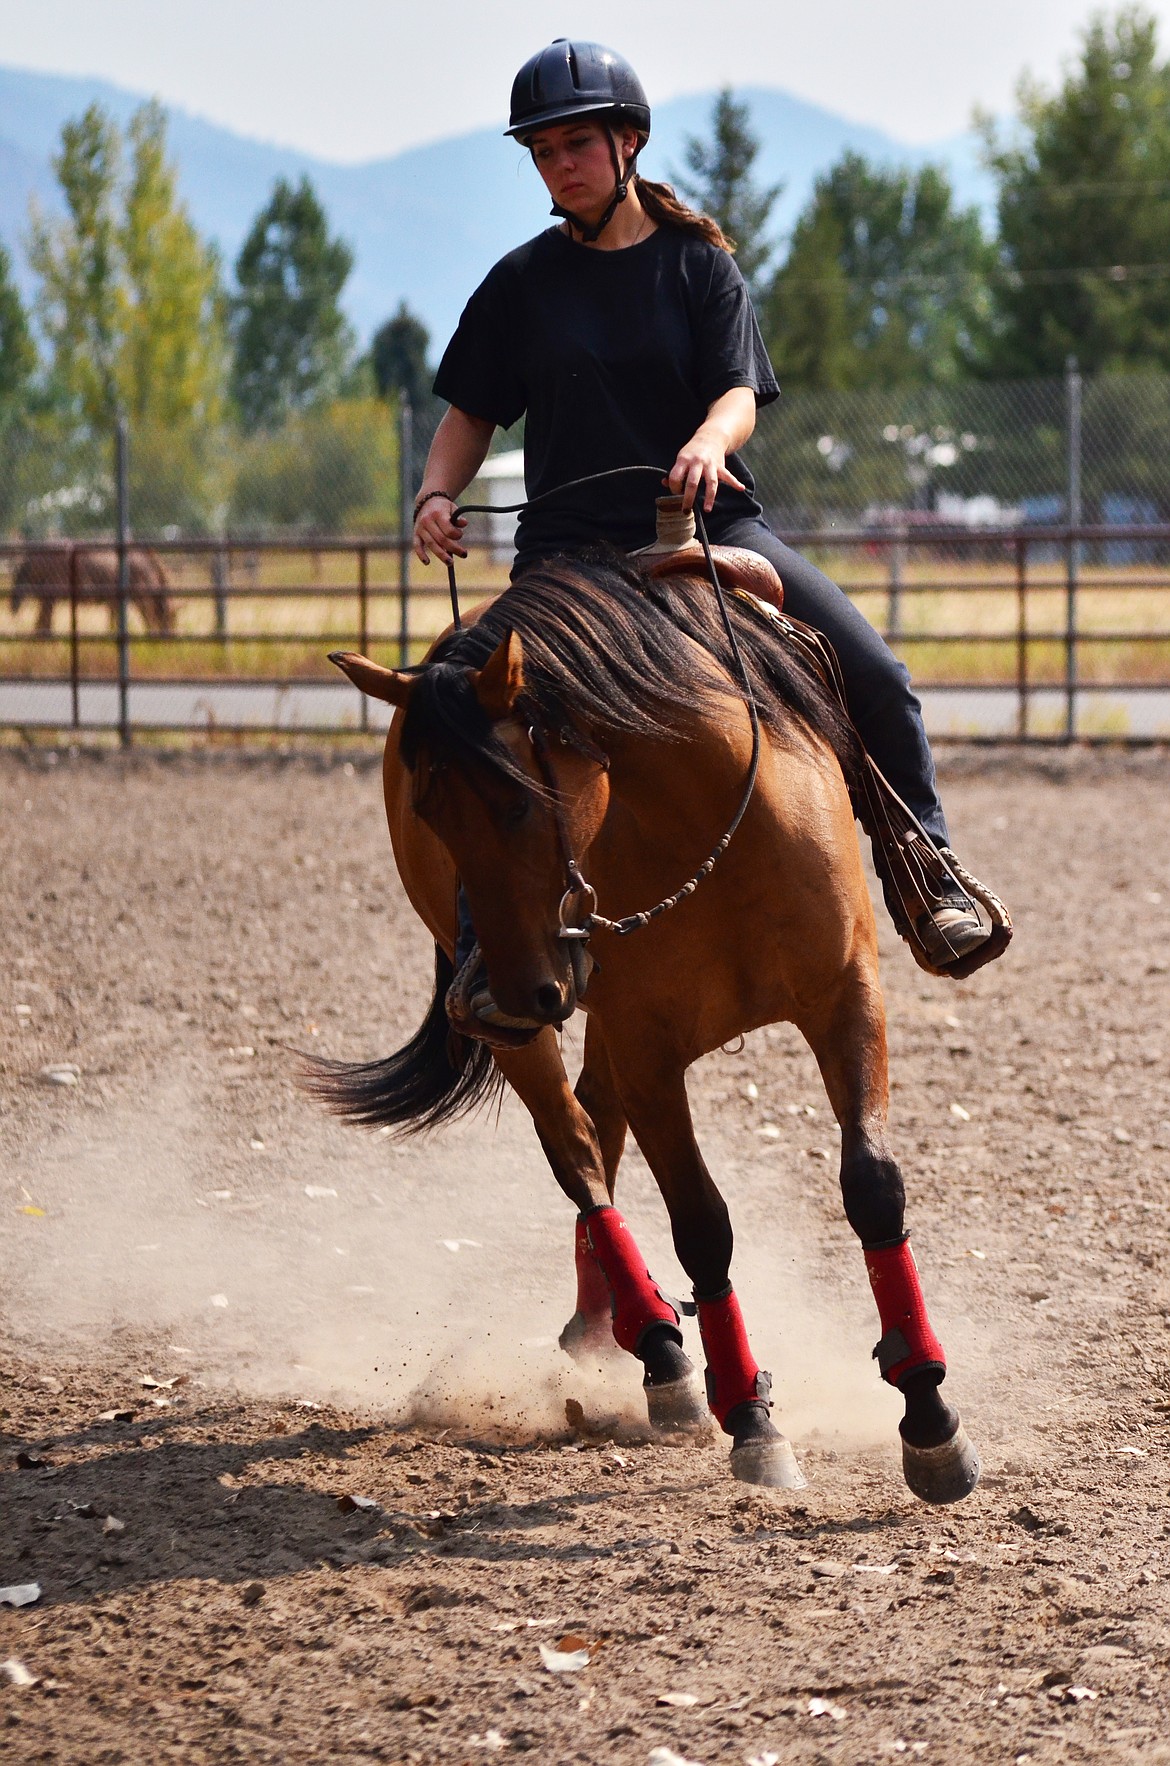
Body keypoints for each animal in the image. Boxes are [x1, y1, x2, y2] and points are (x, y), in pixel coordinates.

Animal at [9, 550, 176, 642]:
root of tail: (29, 557)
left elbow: (113, 622)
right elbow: (149, 619)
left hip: (47, 598)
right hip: (50, 597)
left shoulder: (115, 602)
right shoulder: (142, 598)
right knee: (43, 621)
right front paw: (151, 639)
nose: (169, 638)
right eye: (171, 617)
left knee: (42, 621)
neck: (149, 569)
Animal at [315, 550, 981, 1504]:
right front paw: (751, 1418)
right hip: (548, 1030)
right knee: (579, 1151)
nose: (516, 991)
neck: (703, 824)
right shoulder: (649, 1050)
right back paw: (658, 1346)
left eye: (516, 800)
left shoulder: (846, 999)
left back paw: (614, 1330)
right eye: (431, 812)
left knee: (599, 1121)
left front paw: (928, 1412)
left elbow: (873, 1186)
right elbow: (701, 1223)